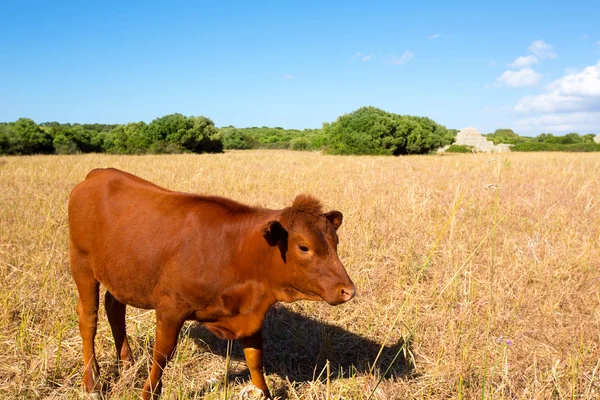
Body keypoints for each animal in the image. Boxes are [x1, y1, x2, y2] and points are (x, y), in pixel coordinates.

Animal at [68, 167, 354, 398]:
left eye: (335, 242)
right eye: (304, 247)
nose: (347, 290)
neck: (236, 251)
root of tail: (98, 174)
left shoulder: (250, 314)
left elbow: (255, 358)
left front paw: (264, 393)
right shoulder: (170, 308)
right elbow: (162, 355)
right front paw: (149, 393)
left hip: (121, 274)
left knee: (114, 308)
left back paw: (127, 367)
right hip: (82, 265)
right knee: (89, 319)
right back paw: (92, 384)